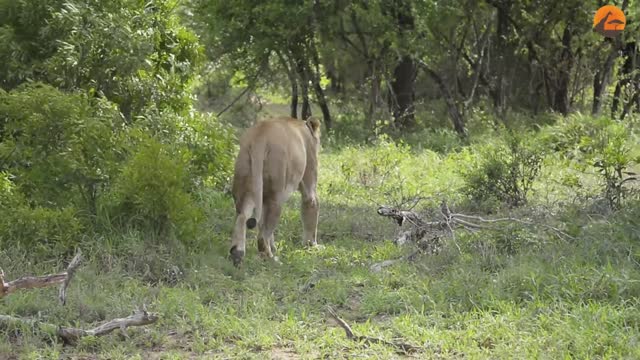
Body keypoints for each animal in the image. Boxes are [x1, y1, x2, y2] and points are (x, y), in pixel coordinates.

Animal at [229, 116, 320, 266]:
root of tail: (260, 137)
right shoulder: (309, 185)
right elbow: (311, 206)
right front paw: (311, 245)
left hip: (246, 184)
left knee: (243, 216)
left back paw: (238, 254)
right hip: (275, 197)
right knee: (262, 234)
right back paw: (272, 259)